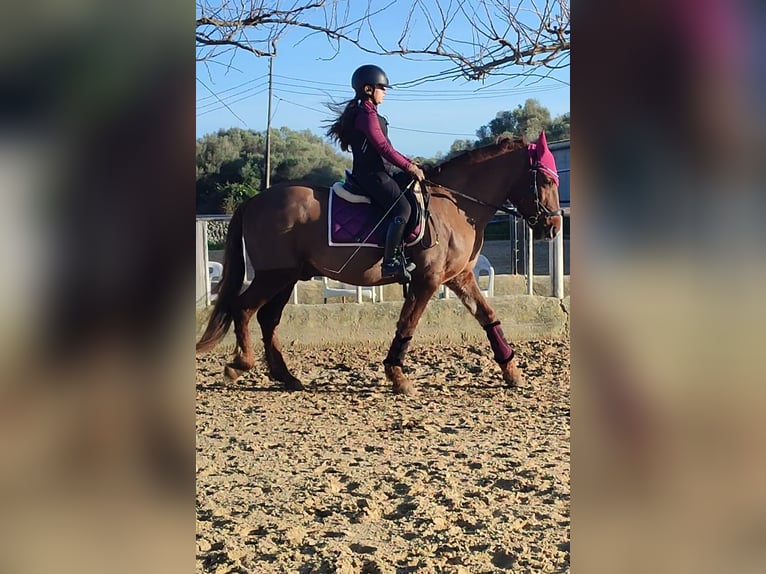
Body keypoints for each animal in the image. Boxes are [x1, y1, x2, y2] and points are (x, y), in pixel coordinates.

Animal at [196, 133, 562, 395]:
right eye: (546, 181)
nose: (554, 227)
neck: (453, 205)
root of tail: (254, 200)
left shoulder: (459, 277)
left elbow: (488, 317)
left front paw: (512, 371)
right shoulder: (427, 280)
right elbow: (407, 323)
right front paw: (397, 376)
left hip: (288, 277)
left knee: (268, 319)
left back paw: (285, 376)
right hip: (275, 275)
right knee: (244, 309)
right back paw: (240, 364)